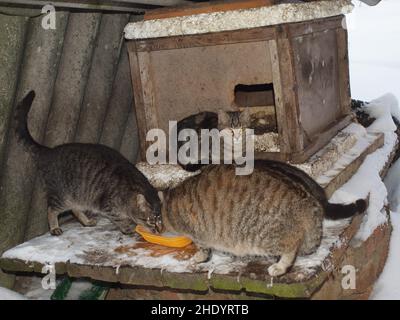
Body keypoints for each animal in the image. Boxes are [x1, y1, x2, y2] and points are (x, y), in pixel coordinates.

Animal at [14, 91, 161, 236]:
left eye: (160, 220)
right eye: (151, 220)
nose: (159, 230)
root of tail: (49, 151)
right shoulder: (108, 206)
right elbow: (120, 219)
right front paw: (128, 228)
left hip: (78, 196)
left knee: (74, 209)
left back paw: (86, 221)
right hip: (62, 196)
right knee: (51, 209)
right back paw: (54, 227)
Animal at [159, 161, 366, 276]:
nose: (157, 227)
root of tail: (308, 201)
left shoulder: (198, 235)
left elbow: (202, 249)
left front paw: (198, 257)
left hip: (264, 236)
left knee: (291, 246)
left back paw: (280, 266)